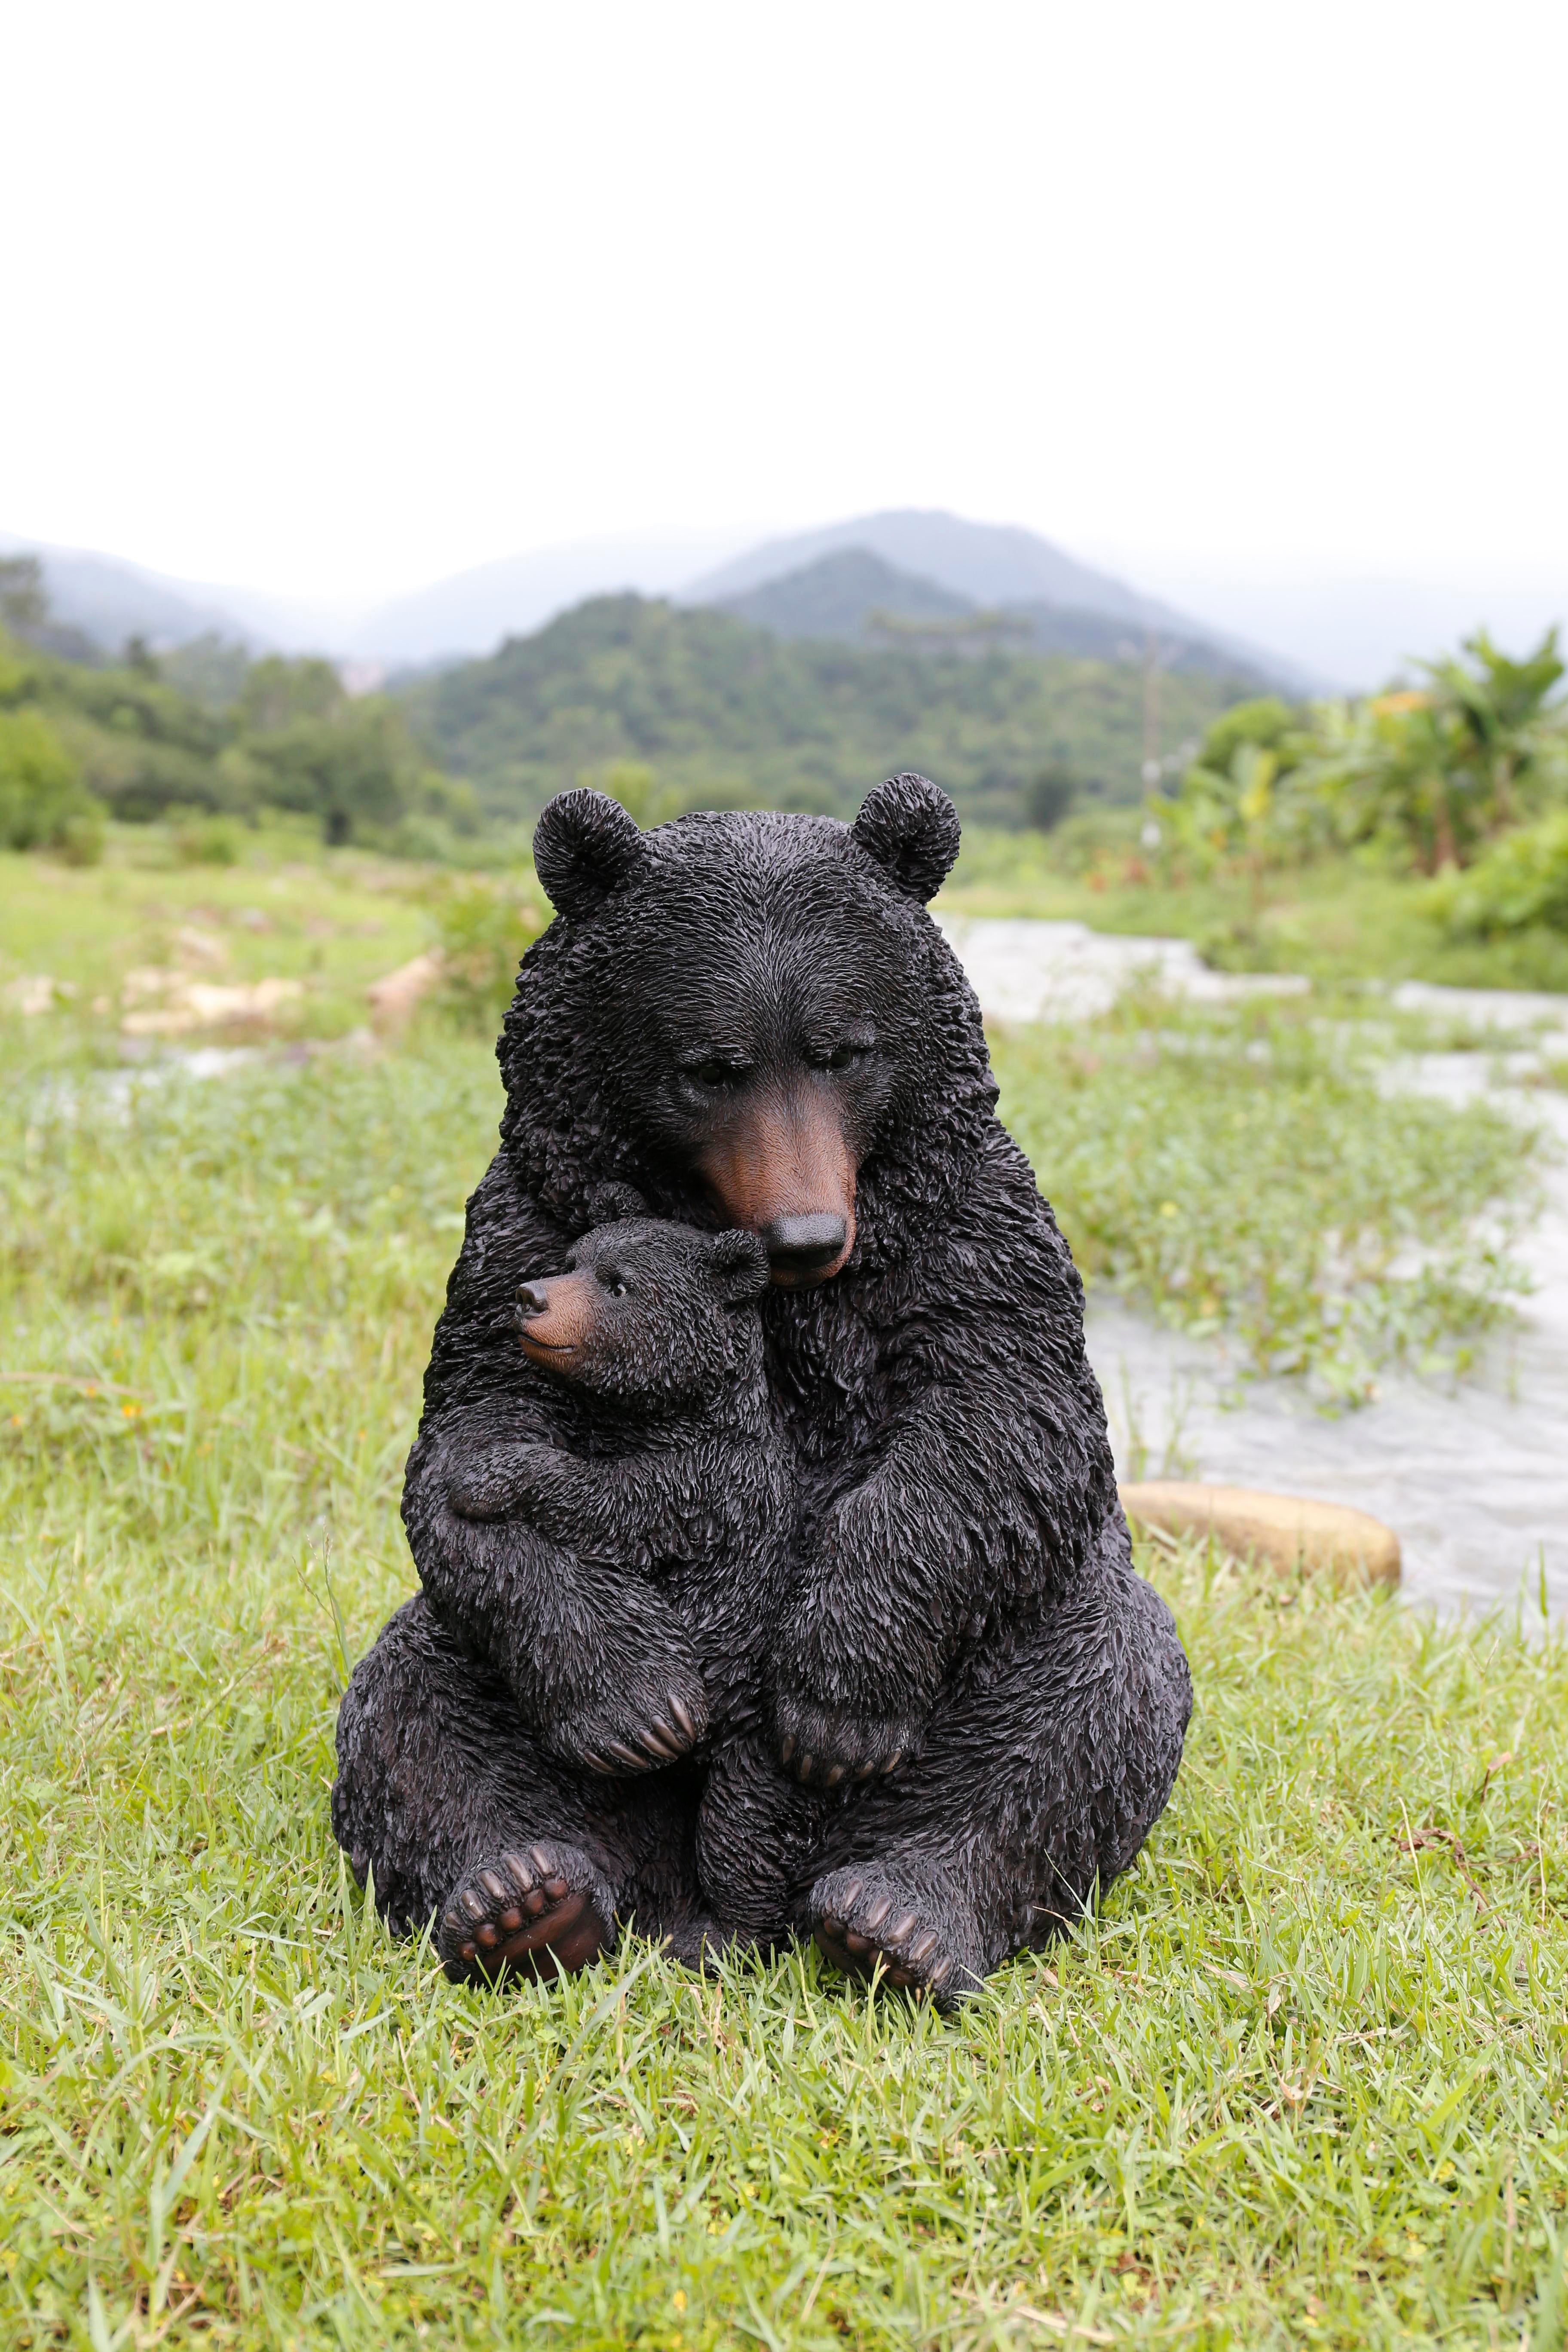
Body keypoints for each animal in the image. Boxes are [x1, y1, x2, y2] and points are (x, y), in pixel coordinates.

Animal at [429, 1212, 825, 1979]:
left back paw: (715, 1936)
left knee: (744, 1836)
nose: (530, 1295)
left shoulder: (703, 1487)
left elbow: (600, 1500)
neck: (677, 1413)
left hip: (750, 1746)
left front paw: (485, 1475)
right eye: (572, 1259)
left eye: (618, 1284)